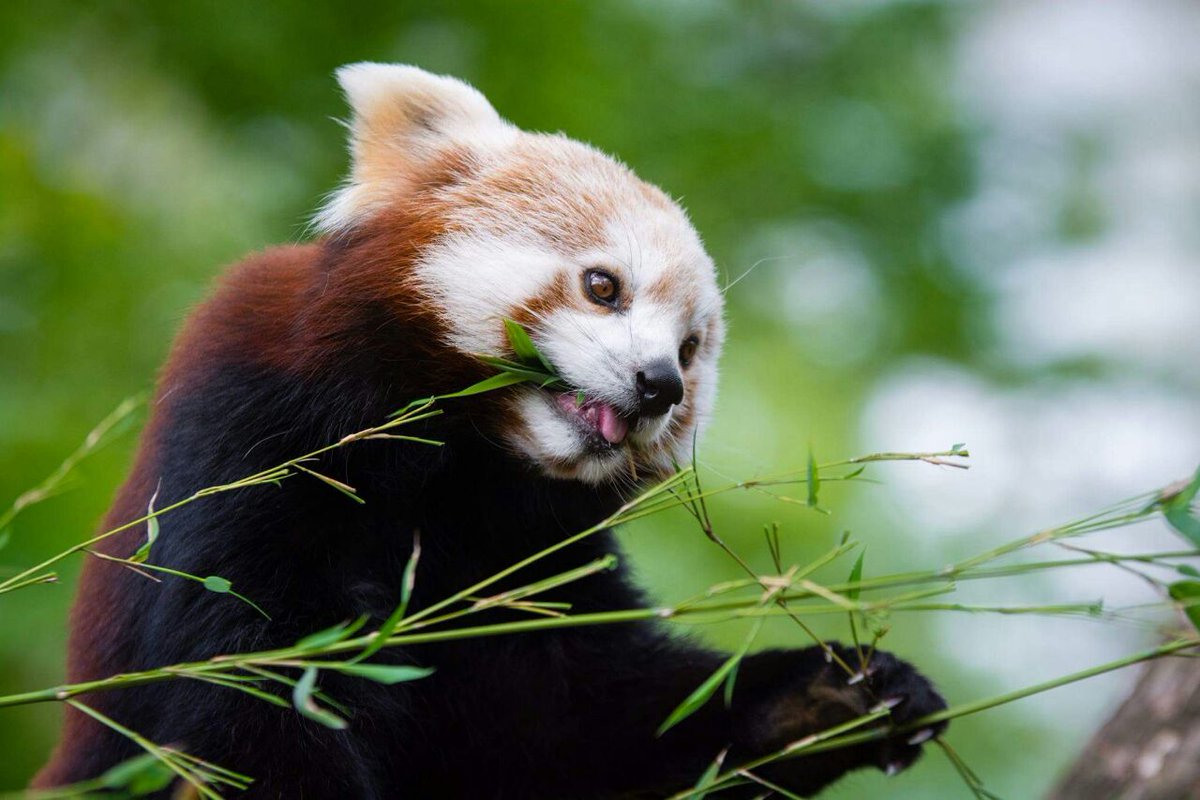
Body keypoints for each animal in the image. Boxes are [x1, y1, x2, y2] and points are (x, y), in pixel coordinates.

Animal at [32, 65, 945, 796]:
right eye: (604, 286)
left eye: (692, 348)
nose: (661, 384)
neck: (465, 475)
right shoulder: (252, 441)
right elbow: (254, 685)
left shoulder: (533, 574)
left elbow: (602, 723)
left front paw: (834, 697)